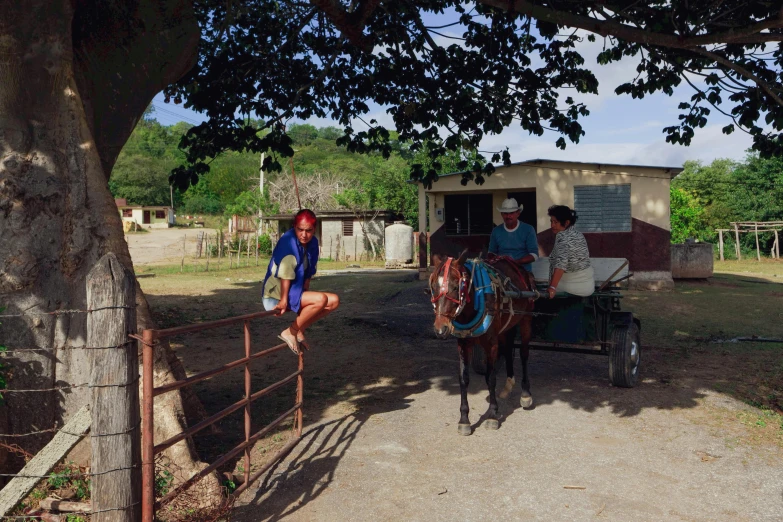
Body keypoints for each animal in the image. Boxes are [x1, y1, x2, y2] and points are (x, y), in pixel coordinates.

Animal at [428, 248, 540, 434]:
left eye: (455, 287)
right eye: (433, 287)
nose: (440, 329)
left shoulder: (491, 344)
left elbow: (491, 377)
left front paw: (493, 415)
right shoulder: (463, 343)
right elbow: (463, 378)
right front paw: (464, 419)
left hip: (526, 319)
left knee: (524, 354)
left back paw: (525, 393)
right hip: (506, 326)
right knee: (508, 349)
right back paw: (508, 385)